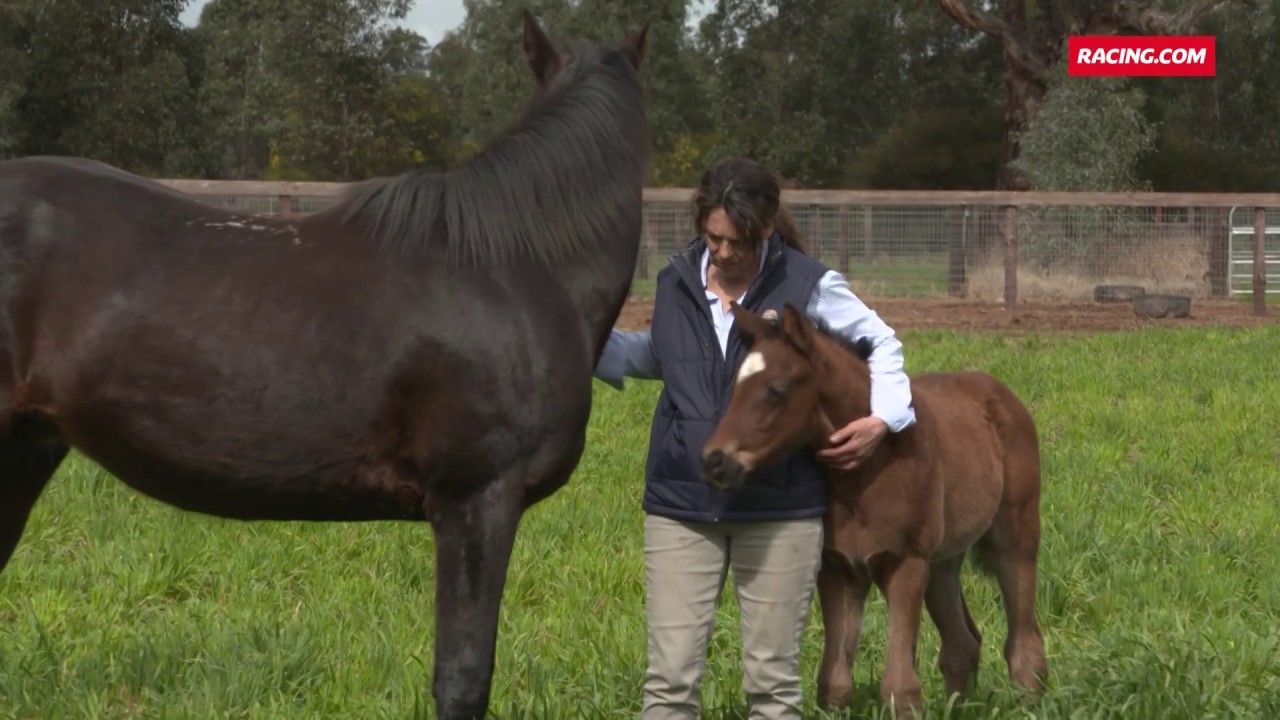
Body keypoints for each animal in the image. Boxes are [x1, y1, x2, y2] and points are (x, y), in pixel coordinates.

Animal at [699, 303, 1048, 718]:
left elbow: (900, 688)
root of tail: (1000, 393)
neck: (867, 470)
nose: (714, 461)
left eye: (776, 390)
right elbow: (834, 683)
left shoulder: (905, 564)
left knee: (1024, 643)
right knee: (962, 643)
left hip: (1014, 538)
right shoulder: (839, 568)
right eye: (736, 386)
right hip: (943, 560)